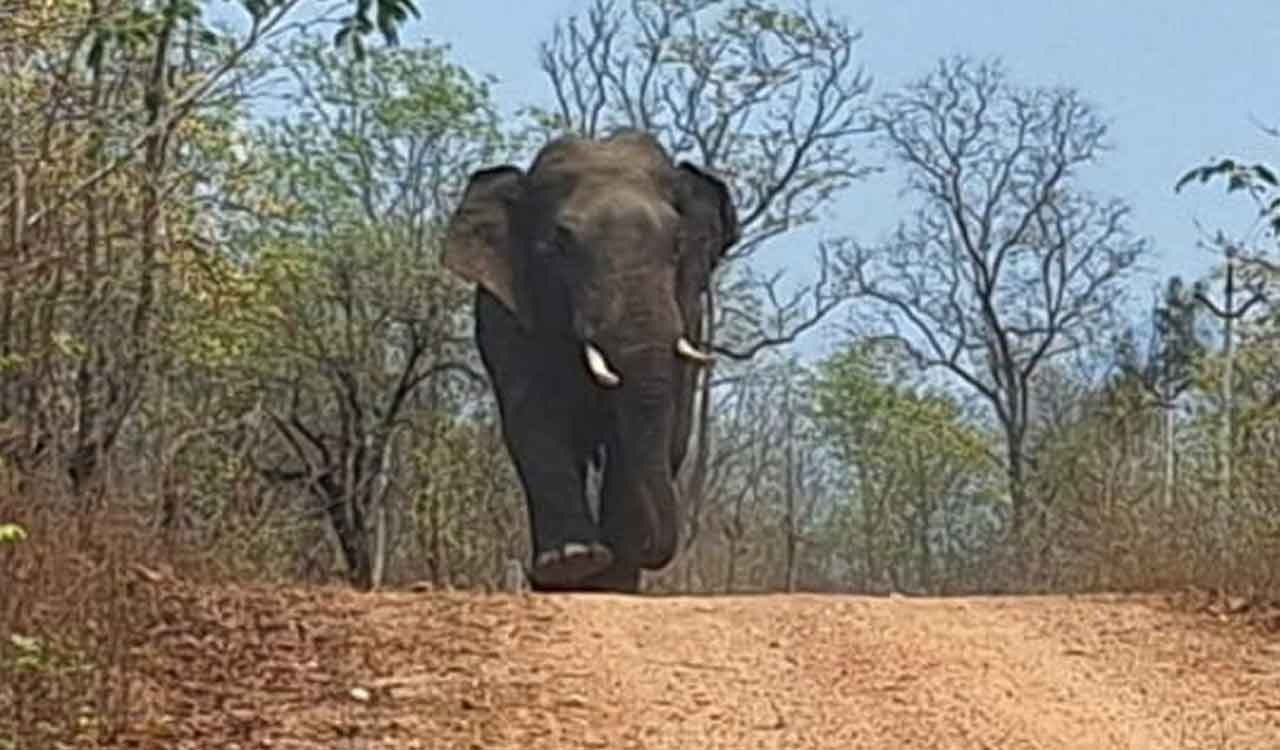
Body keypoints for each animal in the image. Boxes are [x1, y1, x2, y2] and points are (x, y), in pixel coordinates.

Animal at [442, 130, 740, 593]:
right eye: (559, 246)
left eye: (677, 245)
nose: (650, 549)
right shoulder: (506, 318)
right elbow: (535, 416)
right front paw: (573, 561)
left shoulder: (689, 315)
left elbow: (647, 431)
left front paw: (612, 575)